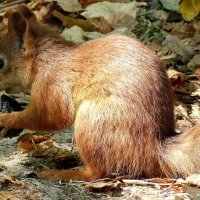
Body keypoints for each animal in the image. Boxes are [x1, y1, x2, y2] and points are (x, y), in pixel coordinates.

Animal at [0, 4, 199, 180]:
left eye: (0, 62)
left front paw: (6, 119)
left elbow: (48, 117)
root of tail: (153, 147)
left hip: (92, 119)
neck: (43, 59)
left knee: (98, 173)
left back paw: (62, 174)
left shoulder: (52, 85)